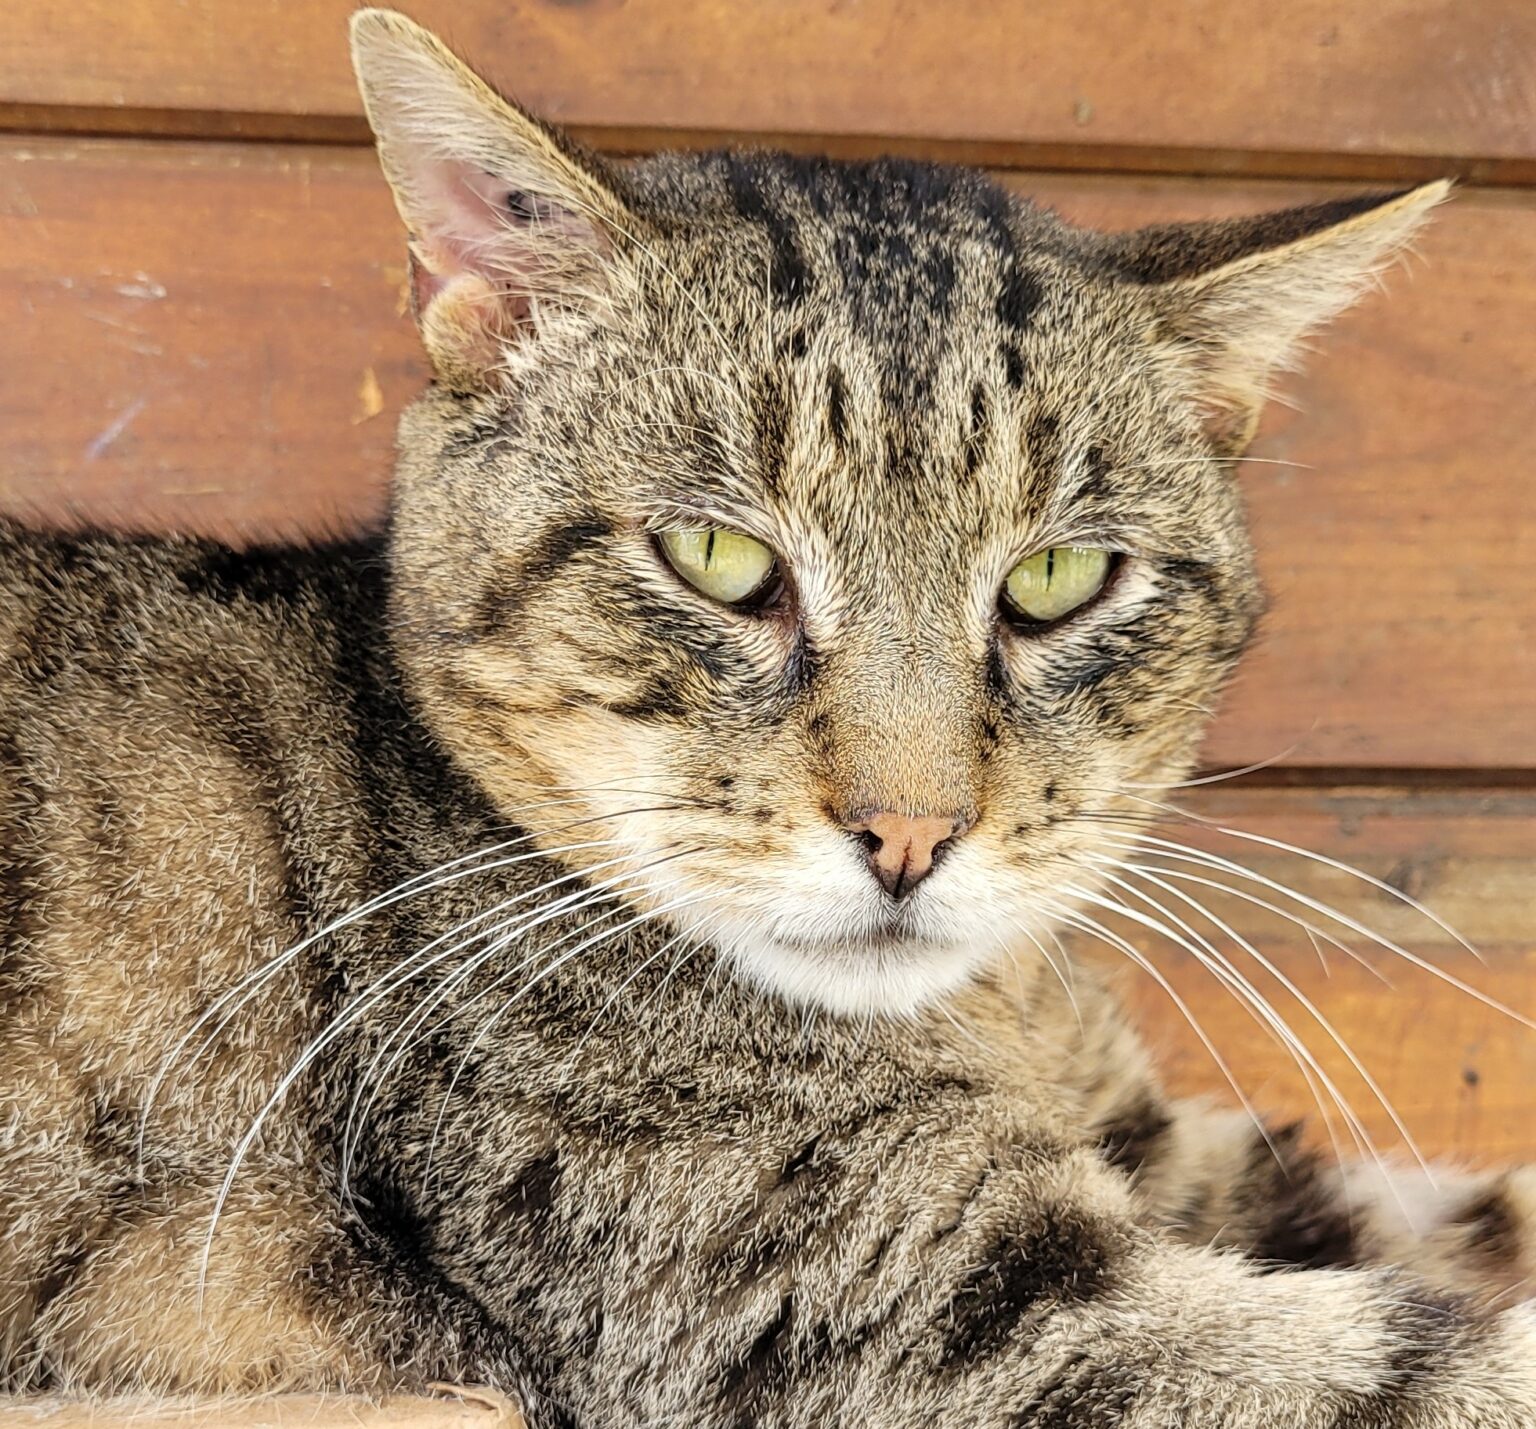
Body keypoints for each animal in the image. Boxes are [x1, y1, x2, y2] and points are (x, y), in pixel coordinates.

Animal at [3, 11, 1536, 1425]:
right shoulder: (916, 1303)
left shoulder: (1160, 1157)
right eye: (720, 558)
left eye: (1055, 579)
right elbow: (1426, 1371)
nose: (911, 834)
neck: (997, 1014)